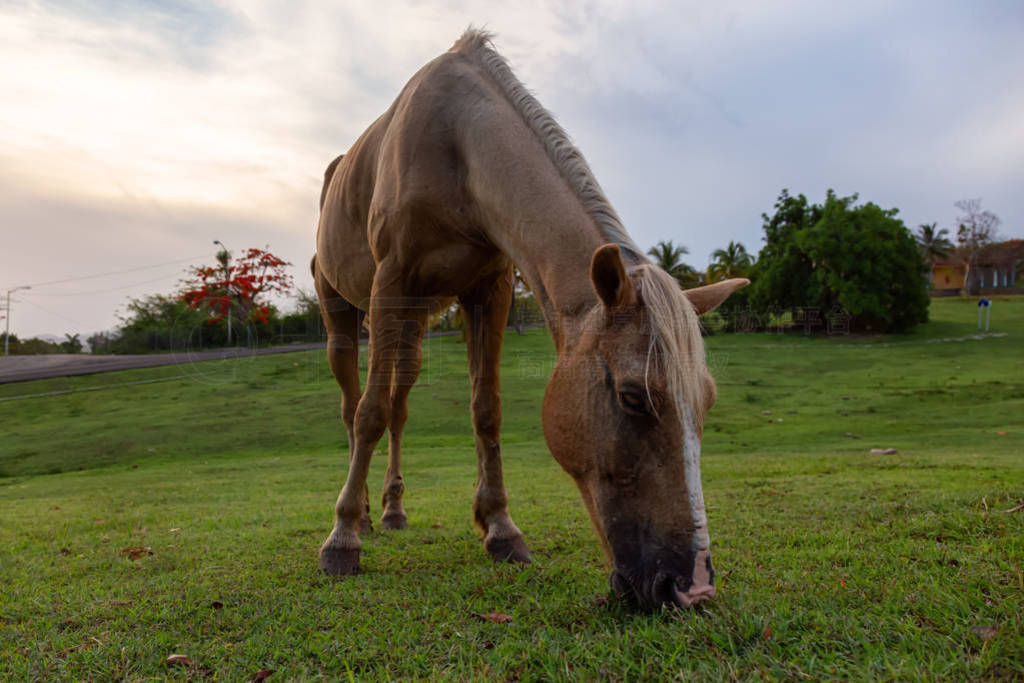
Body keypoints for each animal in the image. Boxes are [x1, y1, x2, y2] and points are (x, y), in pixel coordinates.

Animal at [311, 29, 745, 610]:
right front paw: (341, 541)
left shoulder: (489, 290)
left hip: (413, 328)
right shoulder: (392, 283)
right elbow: (368, 414)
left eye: (707, 401)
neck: (457, 145)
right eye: (632, 396)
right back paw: (357, 513)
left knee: (399, 407)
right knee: (354, 403)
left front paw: (500, 528)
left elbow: (485, 409)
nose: (691, 586)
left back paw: (392, 509)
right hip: (344, 312)